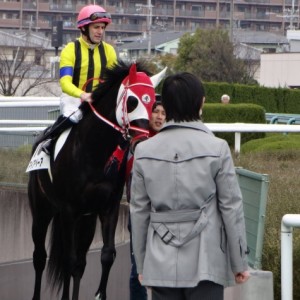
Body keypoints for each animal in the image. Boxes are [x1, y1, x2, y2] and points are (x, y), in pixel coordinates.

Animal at [26, 61, 165, 300]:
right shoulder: (69, 210)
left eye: (153, 103)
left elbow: (106, 255)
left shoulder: (107, 207)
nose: (141, 141)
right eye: (132, 101)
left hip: (86, 220)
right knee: (40, 257)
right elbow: (68, 260)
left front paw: (100, 294)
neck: (94, 151)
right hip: (42, 211)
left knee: (78, 262)